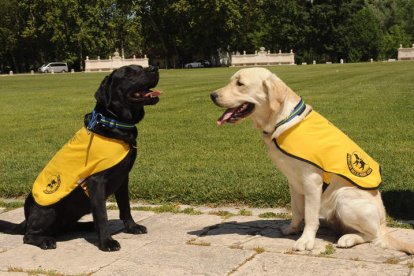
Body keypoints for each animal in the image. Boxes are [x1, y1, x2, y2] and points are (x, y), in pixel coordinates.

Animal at [1, 64, 160, 250]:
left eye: (141, 67)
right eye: (129, 73)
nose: (154, 68)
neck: (114, 122)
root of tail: (26, 219)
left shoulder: (123, 178)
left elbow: (125, 206)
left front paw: (132, 227)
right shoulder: (96, 182)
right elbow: (102, 214)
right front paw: (106, 242)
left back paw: (88, 226)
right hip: (49, 210)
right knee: (28, 236)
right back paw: (45, 240)